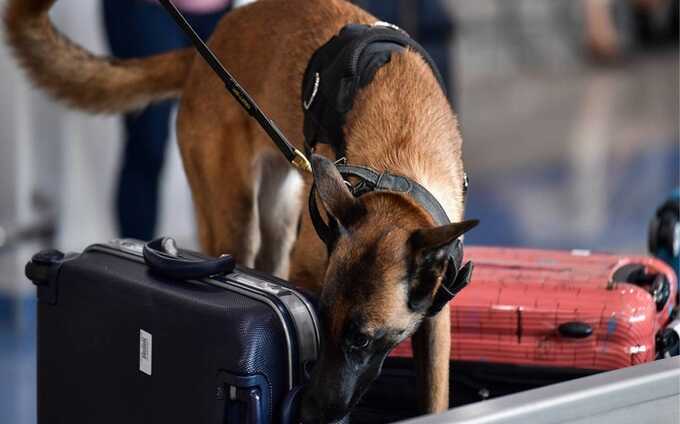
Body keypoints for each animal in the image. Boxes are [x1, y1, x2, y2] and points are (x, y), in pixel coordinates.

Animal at [5, 0, 476, 420]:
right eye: (322, 323)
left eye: (362, 341)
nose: (309, 412)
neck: (399, 163)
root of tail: (205, 50)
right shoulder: (308, 273)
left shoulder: (436, 323)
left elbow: (435, 397)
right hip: (236, 220)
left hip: (277, 222)